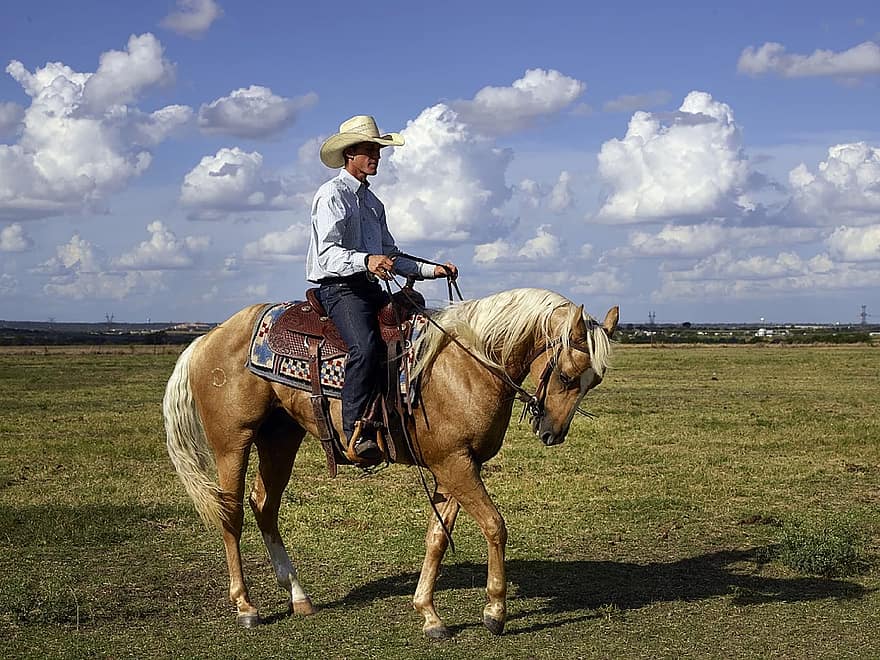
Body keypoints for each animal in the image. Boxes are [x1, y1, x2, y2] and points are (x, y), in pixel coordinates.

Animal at [163, 286, 620, 636]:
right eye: (566, 376)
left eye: (593, 381)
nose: (552, 433)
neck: (465, 365)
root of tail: (208, 338)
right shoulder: (455, 463)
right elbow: (495, 526)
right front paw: (494, 612)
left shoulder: (453, 465)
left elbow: (437, 537)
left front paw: (429, 614)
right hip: (232, 444)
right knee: (232, 515)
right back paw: (246, 607)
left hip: (280, 439)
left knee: (265, 506)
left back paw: (298, 595)